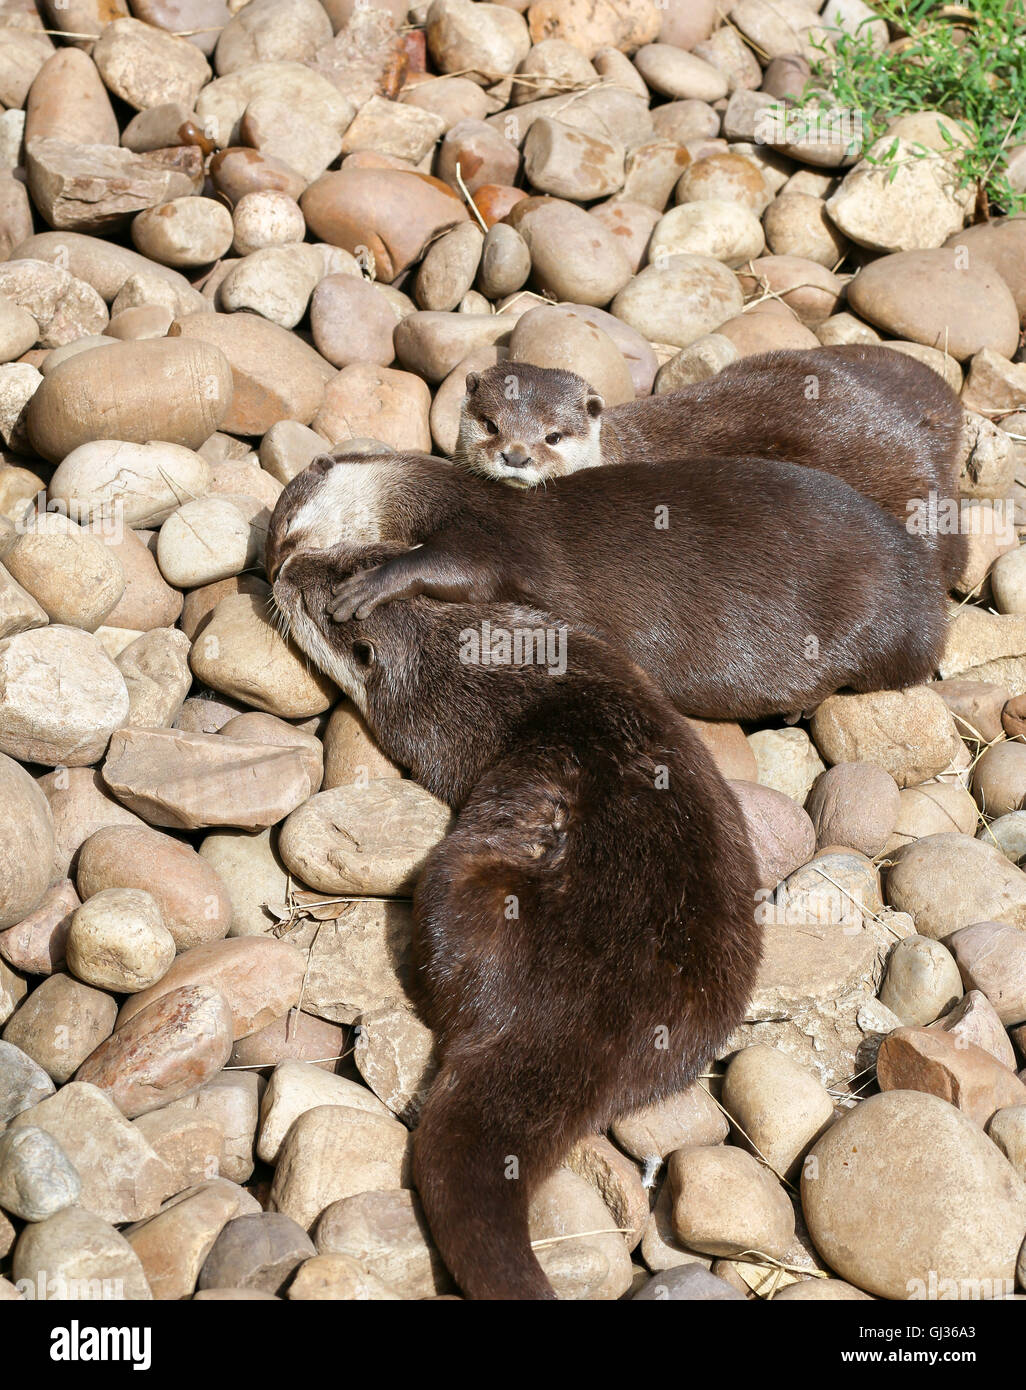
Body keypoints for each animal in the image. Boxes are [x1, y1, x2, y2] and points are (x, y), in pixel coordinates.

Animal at [265, 449, 948, 723]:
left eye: (287, 537)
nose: (273, 574)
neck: (430, 494)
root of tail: (929, 604)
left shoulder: (485, 529)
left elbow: (458, 567)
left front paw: (366, 585)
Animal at [270, 547, 762, 1300]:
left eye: (315, 606)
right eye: (347, 555)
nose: (283, 572)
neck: (472, 659)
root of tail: (573, 1026)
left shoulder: (430, 730)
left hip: (462, 882)